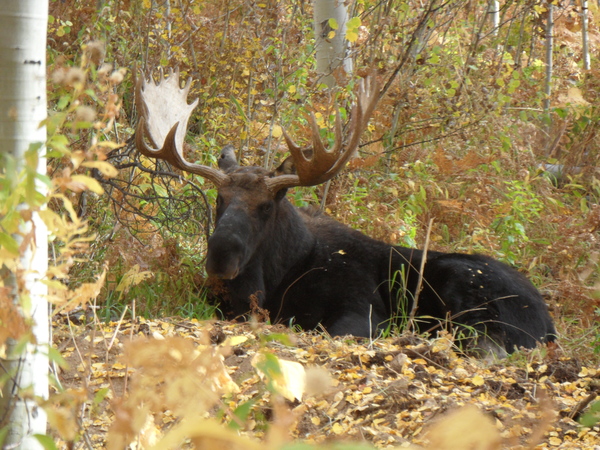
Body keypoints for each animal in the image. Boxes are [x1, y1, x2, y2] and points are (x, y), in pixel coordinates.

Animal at [134, 69, 556, 358]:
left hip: (462, 288)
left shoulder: (362, 312)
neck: (276, 276)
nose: (221, 255)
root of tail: (548, 323)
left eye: (267, 206)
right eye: (219, 198)